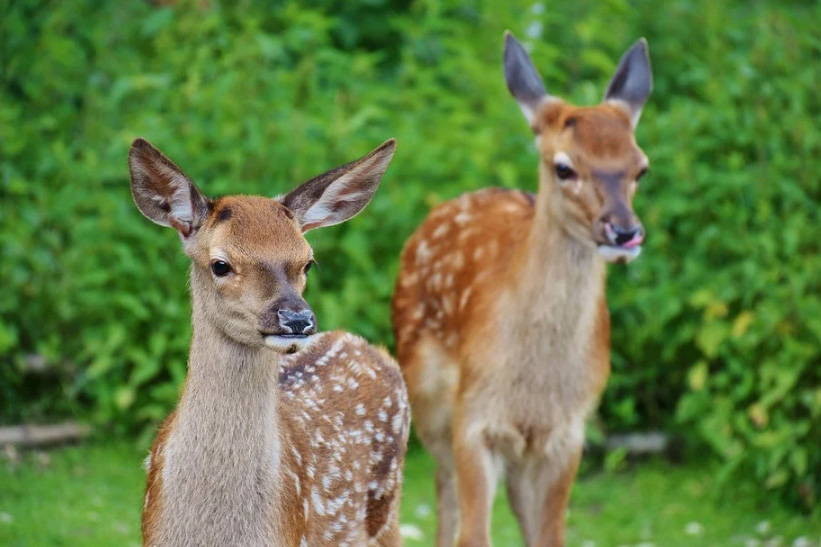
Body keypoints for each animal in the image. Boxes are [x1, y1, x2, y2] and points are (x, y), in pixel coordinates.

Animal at [390, 32, 652, 544]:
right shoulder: (474, 417)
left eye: (641, 167)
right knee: (445, 492)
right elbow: (474, 533)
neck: (534, 386)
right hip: (428, 400)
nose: (624, 232)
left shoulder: (567, 432)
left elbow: (550, 534)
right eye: (564, 167)